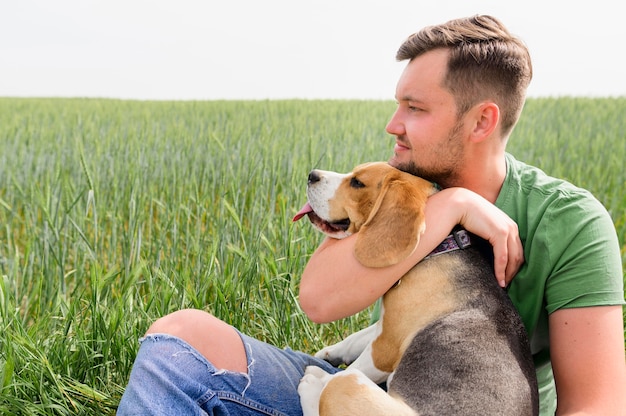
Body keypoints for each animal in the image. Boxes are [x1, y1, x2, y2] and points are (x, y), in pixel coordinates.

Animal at [292, 162, 536, 416]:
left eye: (357, 183)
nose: (312, 175)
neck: (439, 248)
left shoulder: (384, 349)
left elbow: (357, 363)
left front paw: (321, 374)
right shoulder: (389, 326)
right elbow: (356, 338)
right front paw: (328, 352)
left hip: (350, 383)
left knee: (331, 388)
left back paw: (312, 382)